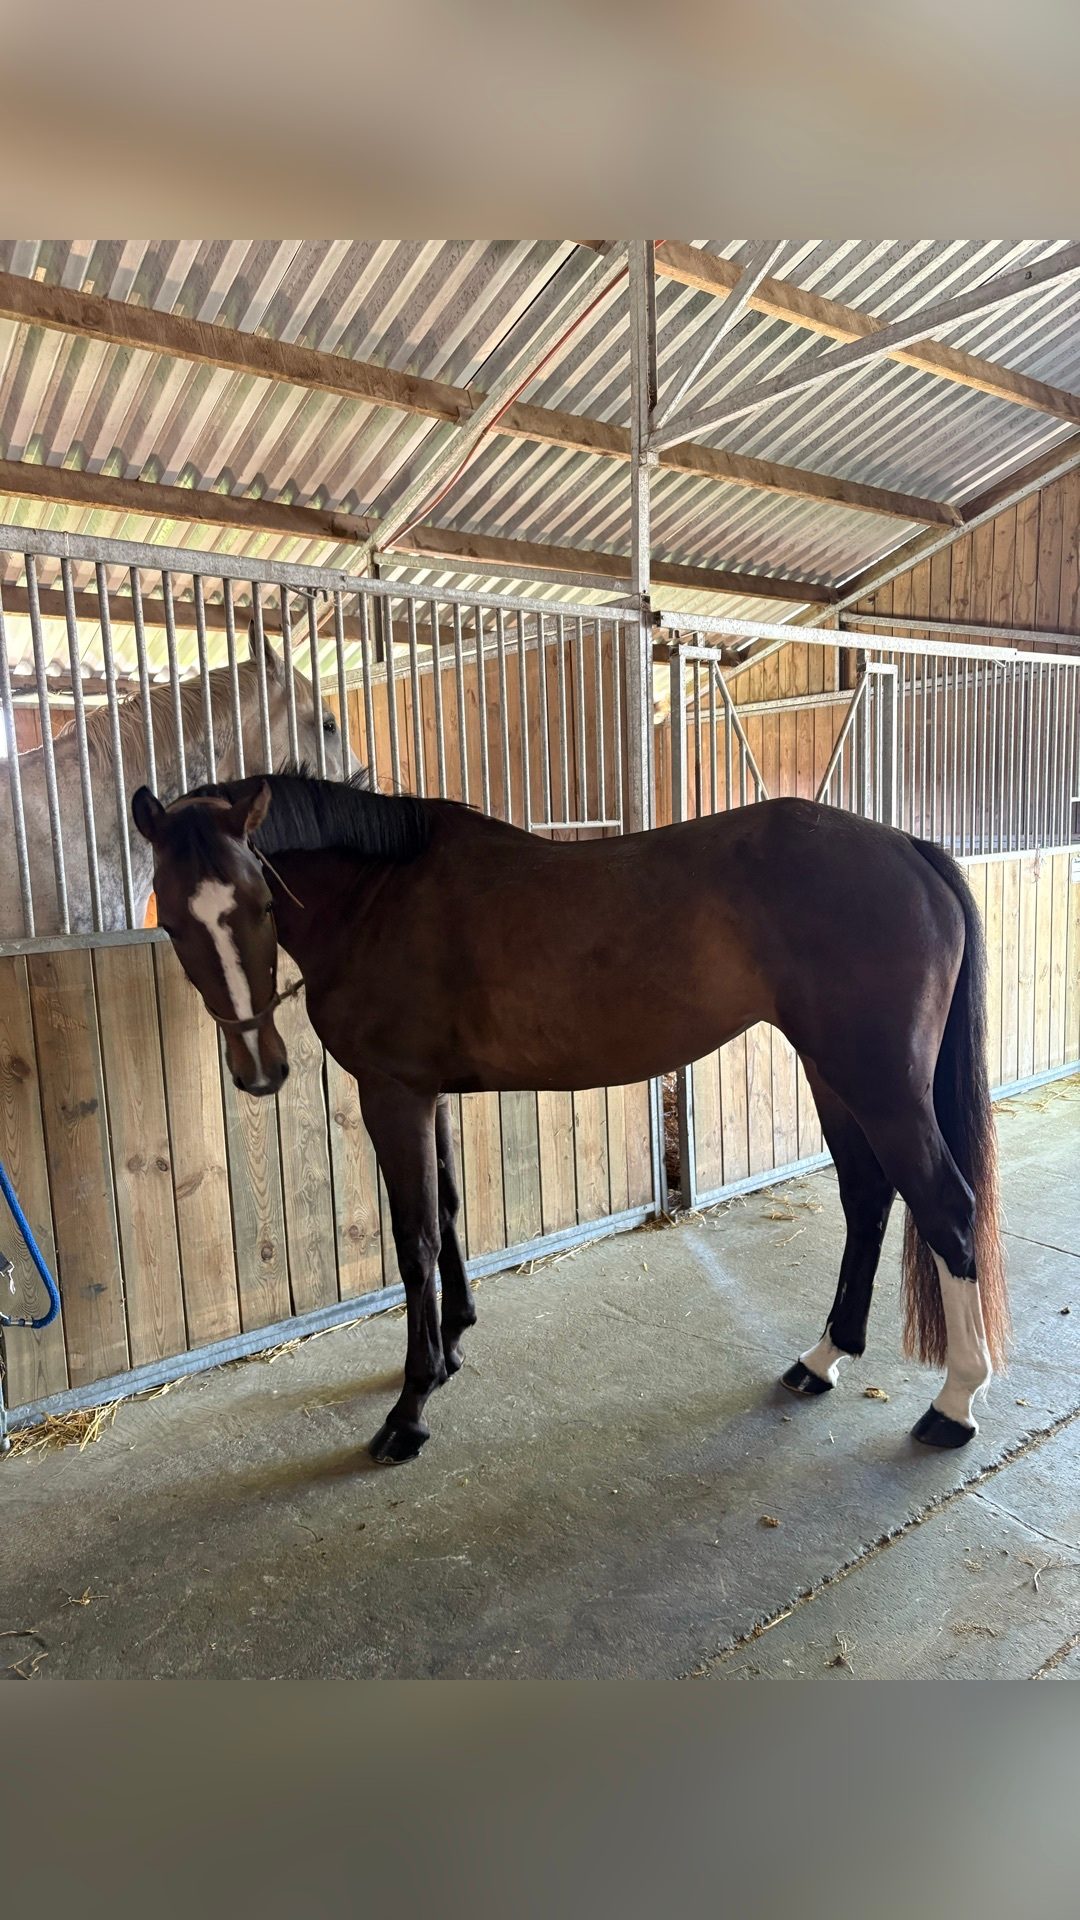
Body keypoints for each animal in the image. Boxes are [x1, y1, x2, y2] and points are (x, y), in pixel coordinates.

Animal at [131, 769, 1009, 1468]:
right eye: (171, 921)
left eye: (258, 902)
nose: (261, 1069)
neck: (381, 894)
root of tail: (907, 848)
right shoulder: (428, 1094)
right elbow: (450, 1214)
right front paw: (453, 1345)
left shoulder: (392, 1093)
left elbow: (415, 1243)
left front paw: (410, 1409)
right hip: (834, 1074)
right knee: (867, 1196)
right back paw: (822, 1359)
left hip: (881, 1083)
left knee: (946, 1208)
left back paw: (954, 1405)